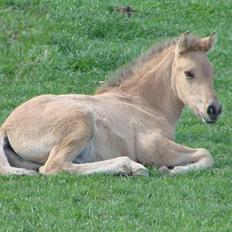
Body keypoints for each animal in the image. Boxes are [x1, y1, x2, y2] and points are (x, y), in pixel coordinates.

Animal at [0, 32, 221, 176]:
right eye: (189, 73)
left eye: (212, 70)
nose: (214, 109)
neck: (144, 104)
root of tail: (7, 126)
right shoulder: (151, 146)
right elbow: (206, 153)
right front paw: (171, 170)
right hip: (81, 121)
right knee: (53, 166)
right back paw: (131, 167)